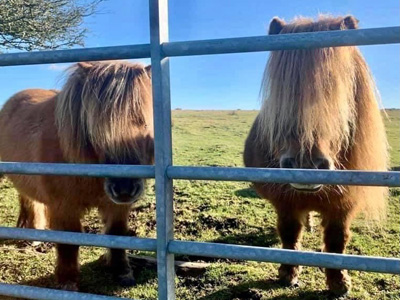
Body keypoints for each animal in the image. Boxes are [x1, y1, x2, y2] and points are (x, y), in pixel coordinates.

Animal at [0, 59, 154, 290]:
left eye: (144, 122)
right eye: (95, 129)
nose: (124, 189)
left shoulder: (117, 206)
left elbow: (117, 233)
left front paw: (122, 272)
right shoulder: (65, 207)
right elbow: (69, 243)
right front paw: (68, 281)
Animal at [242, 15, 390, 294]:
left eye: (338, 88)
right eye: (282, 92)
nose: (305, 163)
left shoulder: (344, 205)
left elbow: (336, 240)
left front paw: (338, 282)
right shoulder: (285, 202)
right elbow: (289, 234)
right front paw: (288, 273)